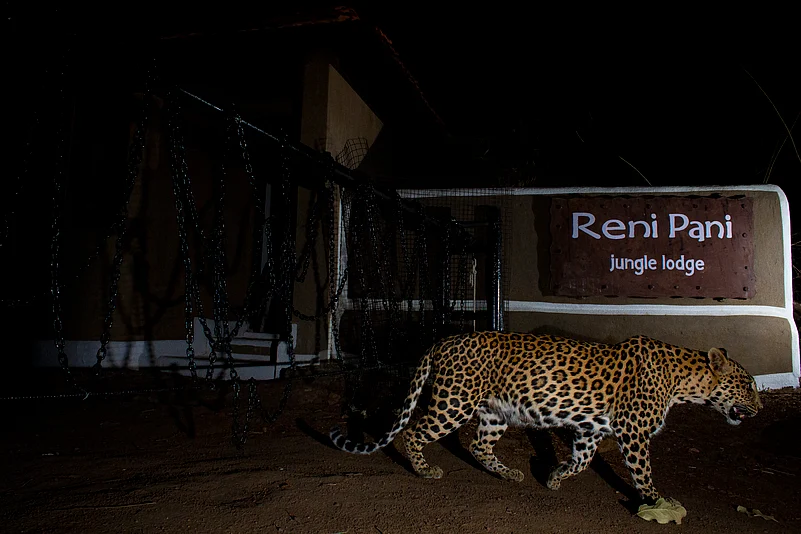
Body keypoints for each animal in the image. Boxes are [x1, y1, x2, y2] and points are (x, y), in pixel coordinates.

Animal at [329, 331, 762, 505]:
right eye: (747, 384)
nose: (760, 408)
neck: (686, 381)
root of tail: (443, 341)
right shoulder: (633, 431)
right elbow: (642, 471)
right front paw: (656, 500)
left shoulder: (590, 429)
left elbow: (583, 462)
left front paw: (553, 477)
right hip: (455, 402)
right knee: (414, 430)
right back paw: (424, 470)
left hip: (495, 411)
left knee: (478, 445)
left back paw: (510, 474)